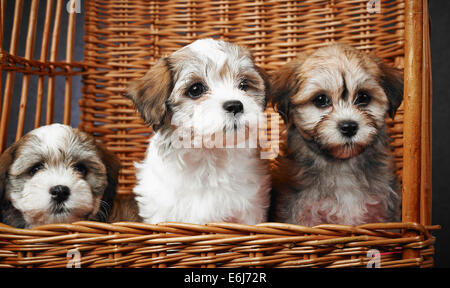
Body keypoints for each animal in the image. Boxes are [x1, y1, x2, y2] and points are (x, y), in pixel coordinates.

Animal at [123, 37, 270, 225]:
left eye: (243, 85)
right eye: (195, 89)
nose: (235, 105)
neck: (209, 155)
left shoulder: (250, 212)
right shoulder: (160, 211)